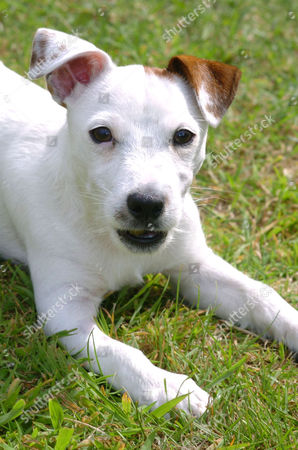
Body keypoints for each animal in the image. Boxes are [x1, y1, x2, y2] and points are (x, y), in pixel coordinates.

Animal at [0, 27, 296, 414]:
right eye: (101, 134)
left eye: (184, 136)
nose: (146, 205)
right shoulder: (64, 312)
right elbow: (122, 353)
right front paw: (170, 388)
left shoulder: (195, 268)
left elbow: (263, 296)